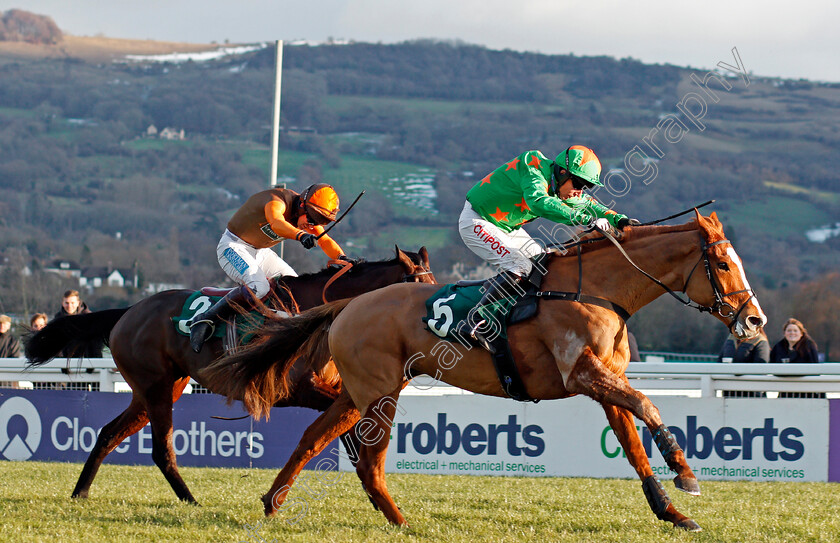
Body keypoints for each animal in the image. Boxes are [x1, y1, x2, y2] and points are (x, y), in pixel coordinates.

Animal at [24, 245, 434, 502]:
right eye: (417, 285)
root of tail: (129, 310)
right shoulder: (297, 391)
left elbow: (347, 435)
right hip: (156, 388)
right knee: (161, 450)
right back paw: (190, 500)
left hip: (157, 388)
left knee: (109, 434)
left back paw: (81, 492)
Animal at [205, 212, 768, 532]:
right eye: (722, 264)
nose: (754, 321)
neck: (595, 288)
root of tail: (346, 305)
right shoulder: (583, 375)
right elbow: (649, 407)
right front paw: (686, 472)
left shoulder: (603, 383)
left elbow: (632, 445)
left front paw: (671, 510)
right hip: (380, 395)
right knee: (369, 463)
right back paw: (401, 521)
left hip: (358, 392)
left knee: (312, 437)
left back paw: (274, 500)